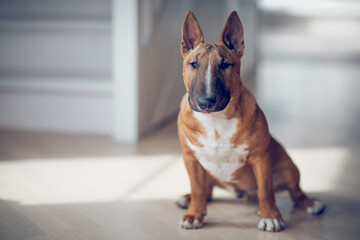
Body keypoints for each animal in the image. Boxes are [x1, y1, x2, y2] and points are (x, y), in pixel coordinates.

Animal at [176, 10, 324, 232]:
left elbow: (266, 190)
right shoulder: (190, 158)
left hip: (289, 168)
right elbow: (198, 188)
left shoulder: (260, 158)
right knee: (206, 190)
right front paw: (194, 214)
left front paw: (270, 216)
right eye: (193, 64)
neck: (215, 121)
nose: (206, 102)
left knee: (295, 191)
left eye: (225, 64)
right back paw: (187, 198)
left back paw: (310, 203)